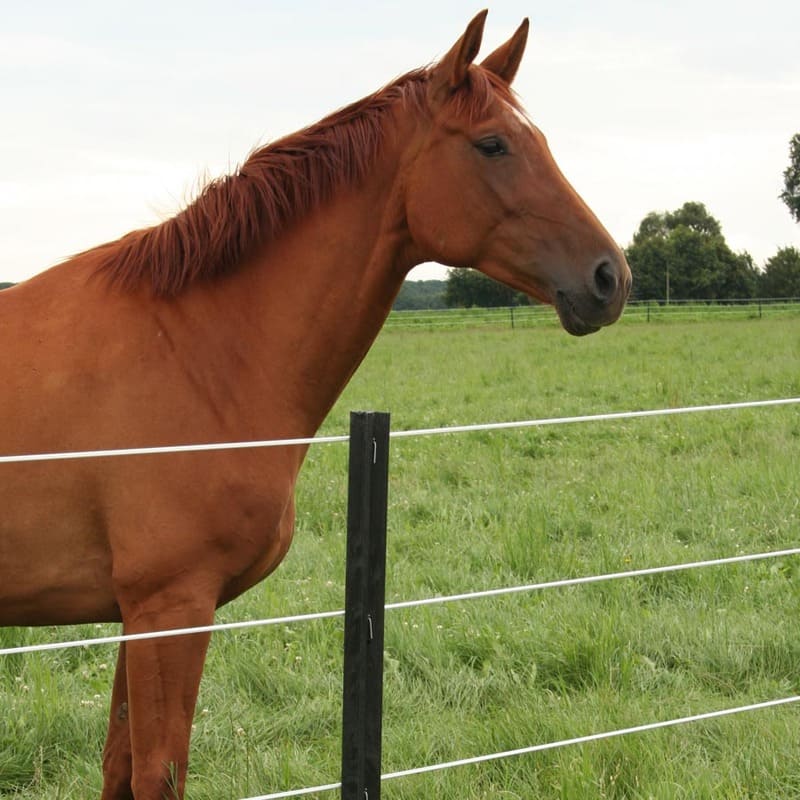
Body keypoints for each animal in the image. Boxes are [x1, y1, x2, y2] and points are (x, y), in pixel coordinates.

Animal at [0, 11, 631, 799]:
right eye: (493, 144)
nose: (610, 277)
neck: (193, 348)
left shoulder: (136, 614)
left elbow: (119, 770)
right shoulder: (169, 608)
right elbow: (157, 775)